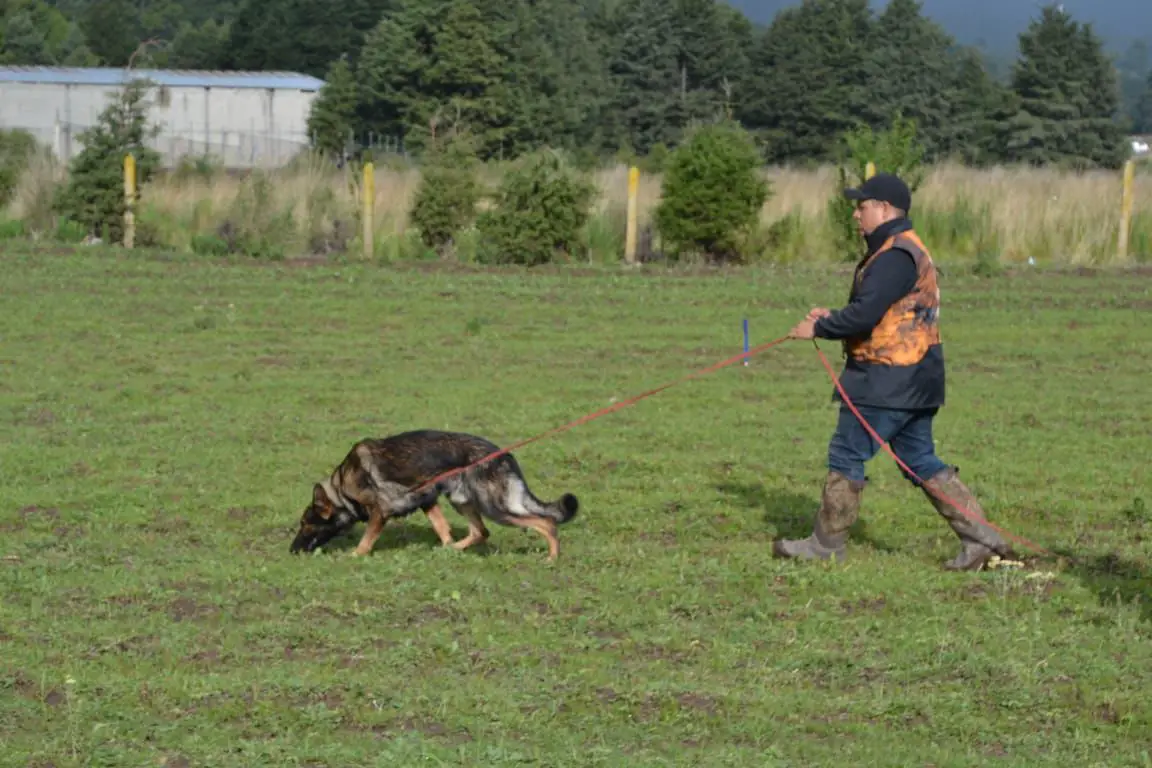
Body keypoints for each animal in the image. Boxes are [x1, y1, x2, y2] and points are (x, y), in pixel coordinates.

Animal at [288, 432, 576, 559]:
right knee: (480, 532)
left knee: (547, 523)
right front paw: (447, 544)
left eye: (305, 525)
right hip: (462, 501)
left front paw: (355, 555)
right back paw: (451, 550)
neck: (342, 490)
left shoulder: (380, 511)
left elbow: (366, 541)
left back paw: (552, 557)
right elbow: (442, 528)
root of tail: (505, 455)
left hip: (495, 507)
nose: (291, 550)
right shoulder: (428, 501)